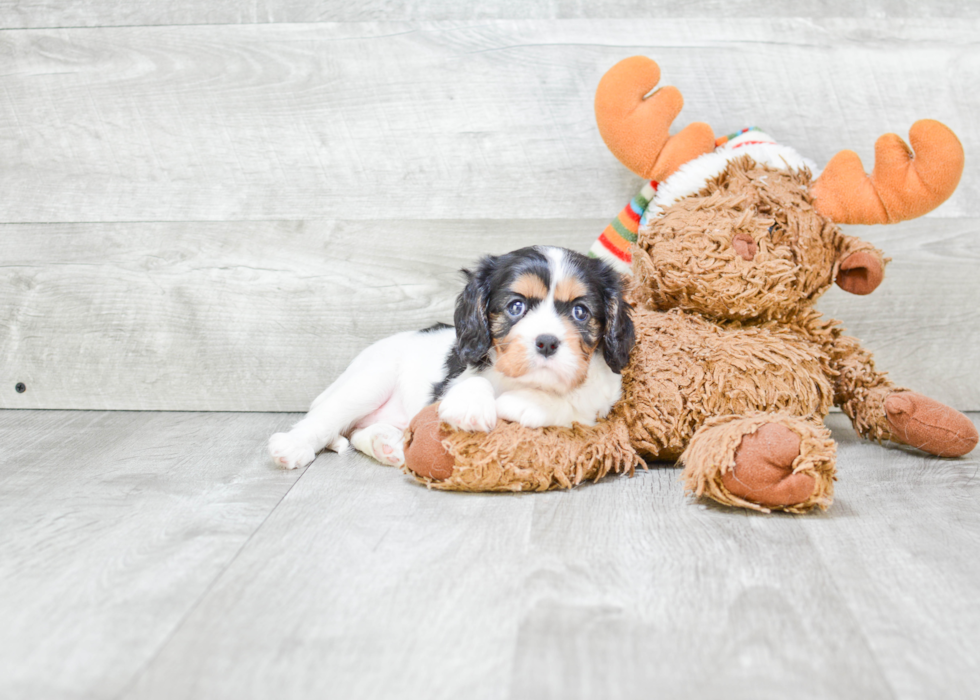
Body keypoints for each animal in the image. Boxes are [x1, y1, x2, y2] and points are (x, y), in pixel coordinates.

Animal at [268, 246, 636, 470]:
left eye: (580, 312)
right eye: (516, 306)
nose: (546, 342)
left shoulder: (602, 396)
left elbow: (575, 400)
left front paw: (528, 402)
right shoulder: (458, 374)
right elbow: (471, 383)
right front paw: (470, 408)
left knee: (358, 430)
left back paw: (386, 444)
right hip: (370, 380)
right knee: (325, 418)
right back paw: (293, 445)